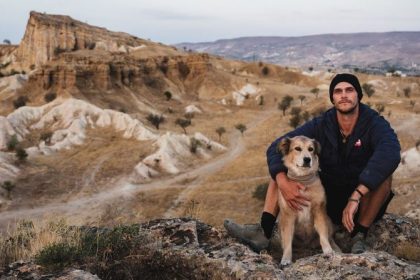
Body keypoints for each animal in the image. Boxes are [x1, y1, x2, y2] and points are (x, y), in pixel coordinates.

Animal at [278, 136, 340, 264]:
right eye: (297, 148)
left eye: (311, 149)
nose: (307, 159)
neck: (303, 181)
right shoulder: (288, 216)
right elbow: (287, 241)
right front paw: (286, 259)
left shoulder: (319, 210)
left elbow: (323, 235)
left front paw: (328, 251)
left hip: (328, 219)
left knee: (330, 237)